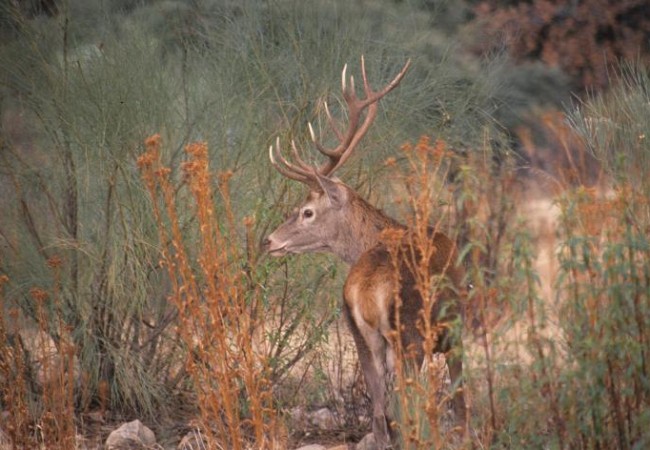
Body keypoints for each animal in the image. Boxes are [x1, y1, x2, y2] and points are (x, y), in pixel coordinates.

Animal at [262, 56, 466, 446]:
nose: (268, 241)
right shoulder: (455, 334)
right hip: (408, 338)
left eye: (307, 211)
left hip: (362, 338)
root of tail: (368, 289)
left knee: (380, 414)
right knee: (405, 410)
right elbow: (463, 408)